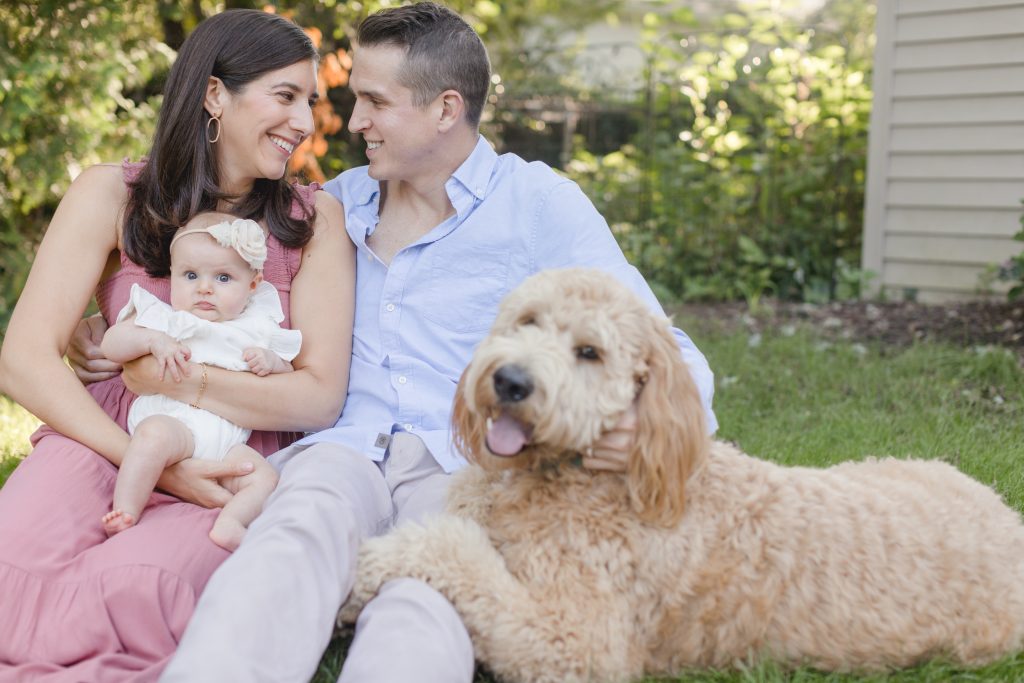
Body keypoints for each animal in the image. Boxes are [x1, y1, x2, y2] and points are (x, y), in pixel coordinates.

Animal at [342, 268, 1024, 683]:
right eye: (528, 320)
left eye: (589, 353)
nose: (510, 381)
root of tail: (1006, 515)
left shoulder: (578, 645)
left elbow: (454, 554)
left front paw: (370, 569)